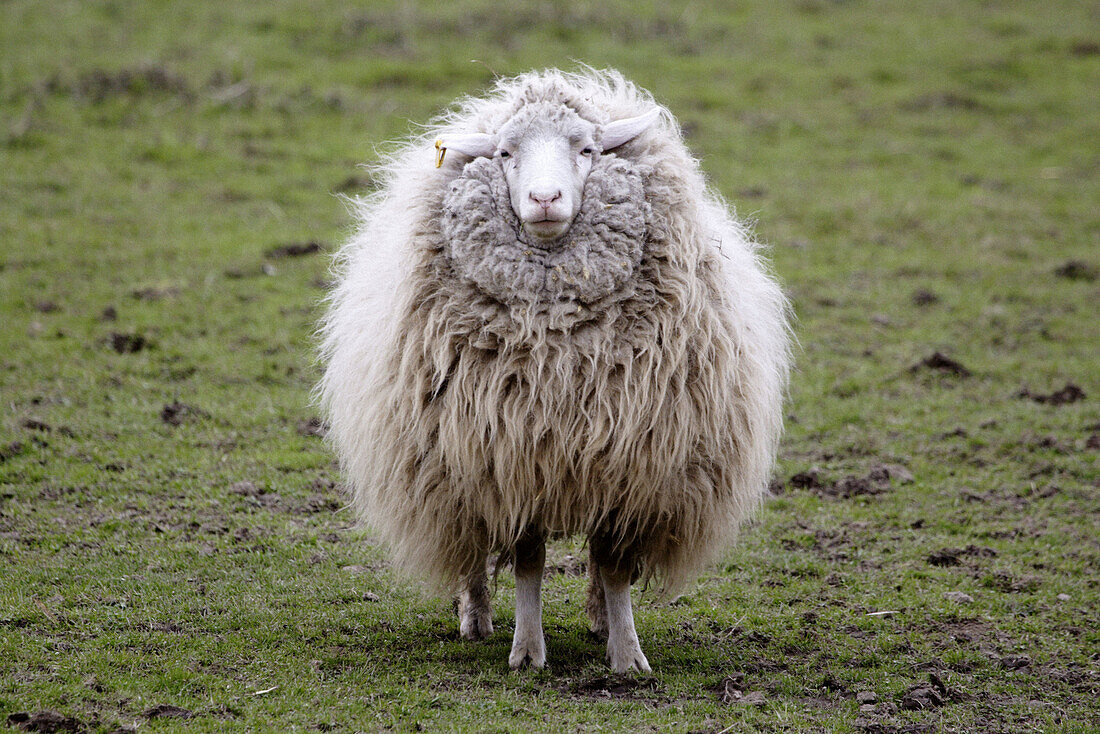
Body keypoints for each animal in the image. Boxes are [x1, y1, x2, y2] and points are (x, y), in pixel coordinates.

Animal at [319, 67, 792, 673]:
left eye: (587, 149)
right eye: (504, 153)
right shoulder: (514, 457)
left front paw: (627, 654)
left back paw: (597, 619)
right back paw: (476, 617)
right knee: (471, 552)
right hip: (455, 466)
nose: (545, 198)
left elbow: (613, 566)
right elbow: (527, 560)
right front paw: (527, 650)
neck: (557, 345)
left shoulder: (628, 466)